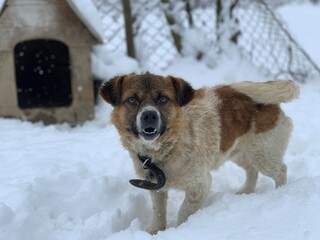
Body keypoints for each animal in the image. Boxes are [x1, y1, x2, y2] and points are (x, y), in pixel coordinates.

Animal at [99, 72, 298, 234]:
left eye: (163, 99)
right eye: (132, 100)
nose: (149, 115)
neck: (166, 150)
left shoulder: (200, 185)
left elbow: (184, 213)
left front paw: (180, 231)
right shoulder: (156, 188)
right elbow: (158, 212)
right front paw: (155, 231)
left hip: (263, 153)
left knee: (281, 170)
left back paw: (280, 191)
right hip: (236, 152)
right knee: (251, 169)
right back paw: (246, 191)